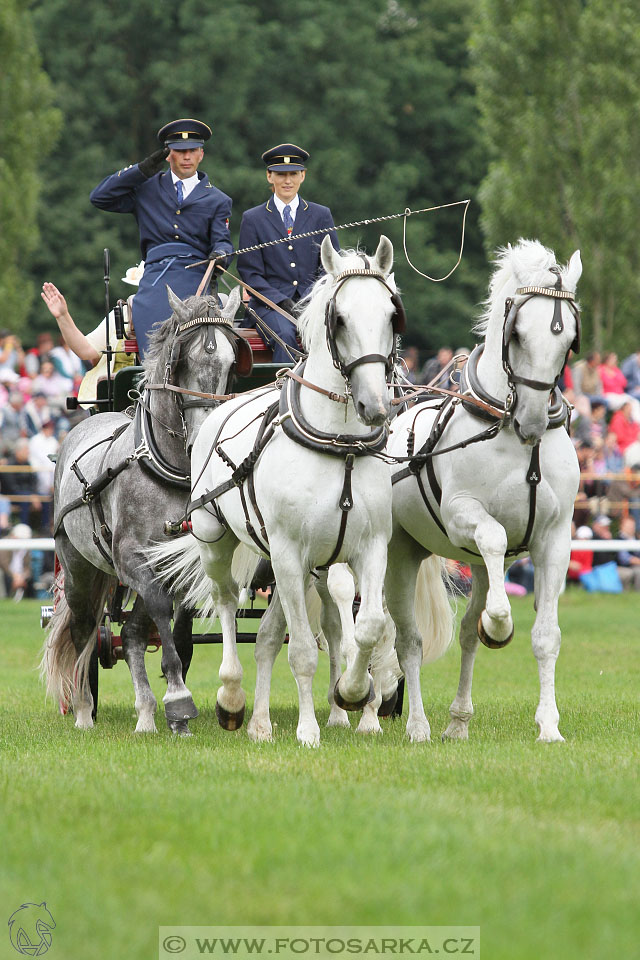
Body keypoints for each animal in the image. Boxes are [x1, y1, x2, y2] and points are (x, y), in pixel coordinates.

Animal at [151, 236, 404, 748]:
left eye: (392, 315)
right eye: (338, 318)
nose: (374, 405)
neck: (340, 445)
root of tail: (221, 407)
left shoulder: (369, 548)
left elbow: (366, 628)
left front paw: (353, 693)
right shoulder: (289, 553)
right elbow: (303, 650)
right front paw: (308, 730)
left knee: (272, 633)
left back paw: (262, 723)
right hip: (216, 539)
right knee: (227, 602)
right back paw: (232, 699)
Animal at [384, 240, 584, 744]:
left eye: (569, 338)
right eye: (518, 334)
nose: (533, 420)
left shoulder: (554, 538)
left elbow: (546, 637)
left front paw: (549, 725)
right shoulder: (462, 515)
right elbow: (493, 538)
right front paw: (500, 622)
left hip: (470, 561)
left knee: (466, 633)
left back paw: (458, 721)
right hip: (398, 553)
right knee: (406, 639)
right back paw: (413, 723)